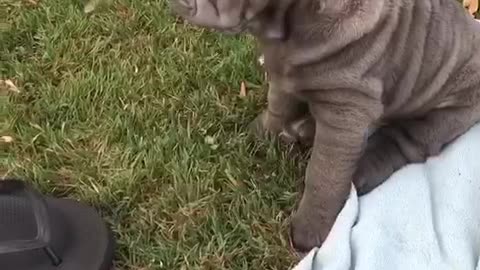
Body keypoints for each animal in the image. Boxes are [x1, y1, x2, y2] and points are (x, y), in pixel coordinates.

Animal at [171, 0, 480, 253]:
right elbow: (278, 106)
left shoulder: (345, 111)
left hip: (448, 110)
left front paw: (309, 232)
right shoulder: (283, 74)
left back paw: (364, 170)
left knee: (407, 141)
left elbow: (324, 175)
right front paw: (261, 134)